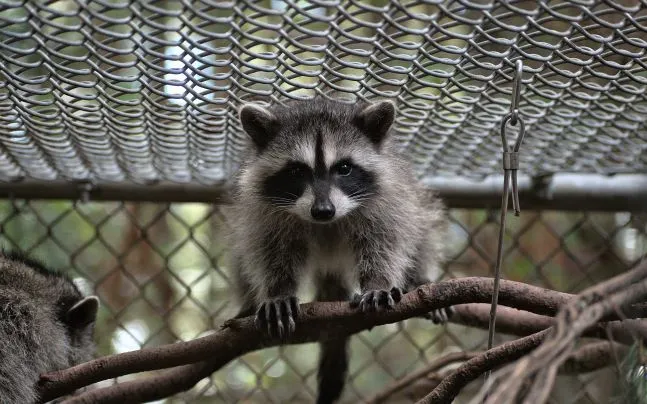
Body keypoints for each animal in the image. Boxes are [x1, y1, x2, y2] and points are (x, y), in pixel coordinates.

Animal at [230, 98, 454, 404]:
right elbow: (271, 247)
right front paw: (278, 290)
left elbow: (387, 239)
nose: (323, 211)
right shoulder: (264, 210)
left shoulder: (389, 198)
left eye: (344, 168)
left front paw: (378, 282)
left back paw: (420, 278)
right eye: (297, 171)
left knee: (422, 228)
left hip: (415, 199)